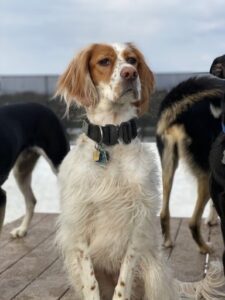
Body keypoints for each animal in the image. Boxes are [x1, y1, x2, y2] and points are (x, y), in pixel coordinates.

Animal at [0, 102, 69, 238]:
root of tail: (43, 106)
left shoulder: (0, 195)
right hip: (20, 171)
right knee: (31, 201)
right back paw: (22, 229)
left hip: (60, 164)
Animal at [55, 42, 177, 300]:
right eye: (104, 61)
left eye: (132, 60)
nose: (130, 73)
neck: (111, 139)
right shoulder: (80, 226)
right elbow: (91, 283)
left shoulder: (136, 226)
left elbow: (123, 282)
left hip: (154, 273)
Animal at [156, 56, 225, 253]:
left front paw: (212, 219)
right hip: (204, 173)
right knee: (193, 223)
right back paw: (205, 247)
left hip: (168, 166)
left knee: (163, 213)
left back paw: (168, 241)